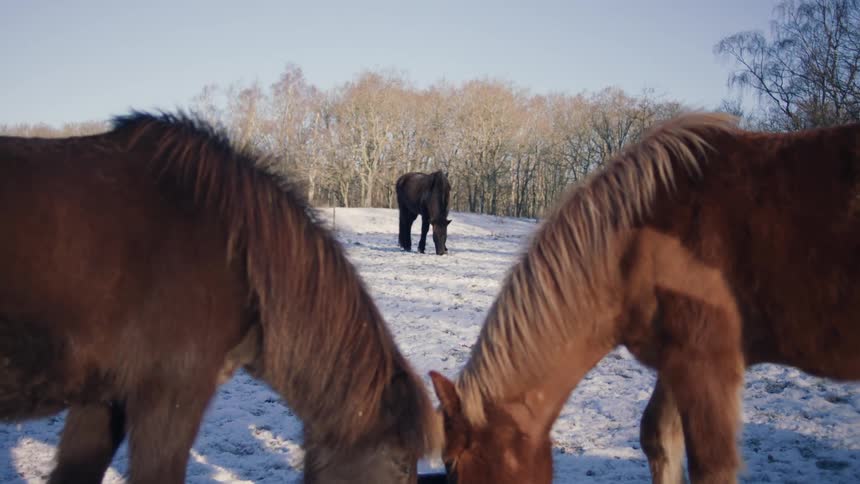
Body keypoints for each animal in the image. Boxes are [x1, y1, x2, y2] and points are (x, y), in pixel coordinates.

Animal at [428, 113, 860, 483]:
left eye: (451, 463)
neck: (635, 247)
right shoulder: (677, 362)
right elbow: (657, 440)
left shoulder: (707, 366)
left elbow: (711, 467)